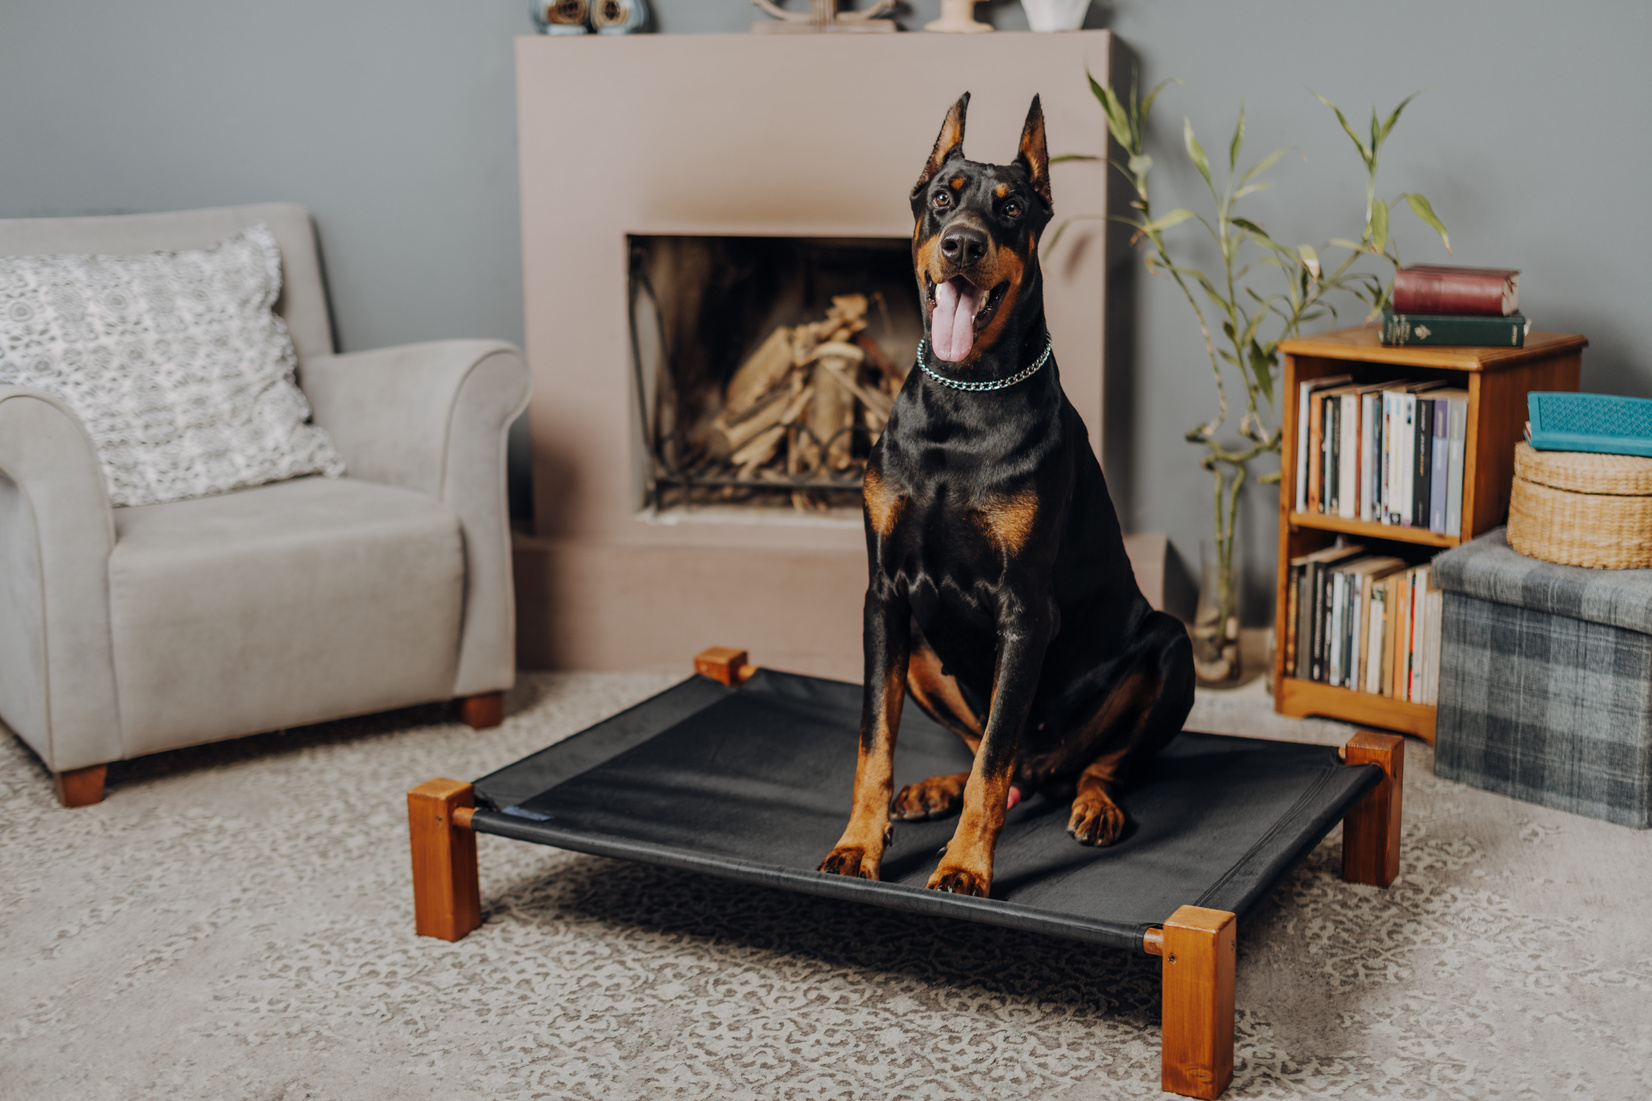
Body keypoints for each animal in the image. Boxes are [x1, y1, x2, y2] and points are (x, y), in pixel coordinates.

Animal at [812, 94, 1189, 899]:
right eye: (942, 198)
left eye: (1011, 207)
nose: (960, 244)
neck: (964, 400)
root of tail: (1048, 768)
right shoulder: (884, 597)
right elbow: (875, 741)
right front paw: (859, 843)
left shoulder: (1025, 611)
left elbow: (994, 761)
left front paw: (964, 866)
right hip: (923, 649)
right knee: (988, 749)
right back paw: (932, 790)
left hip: (1170, 650)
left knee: (1086, 763)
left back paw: (1094, 805)